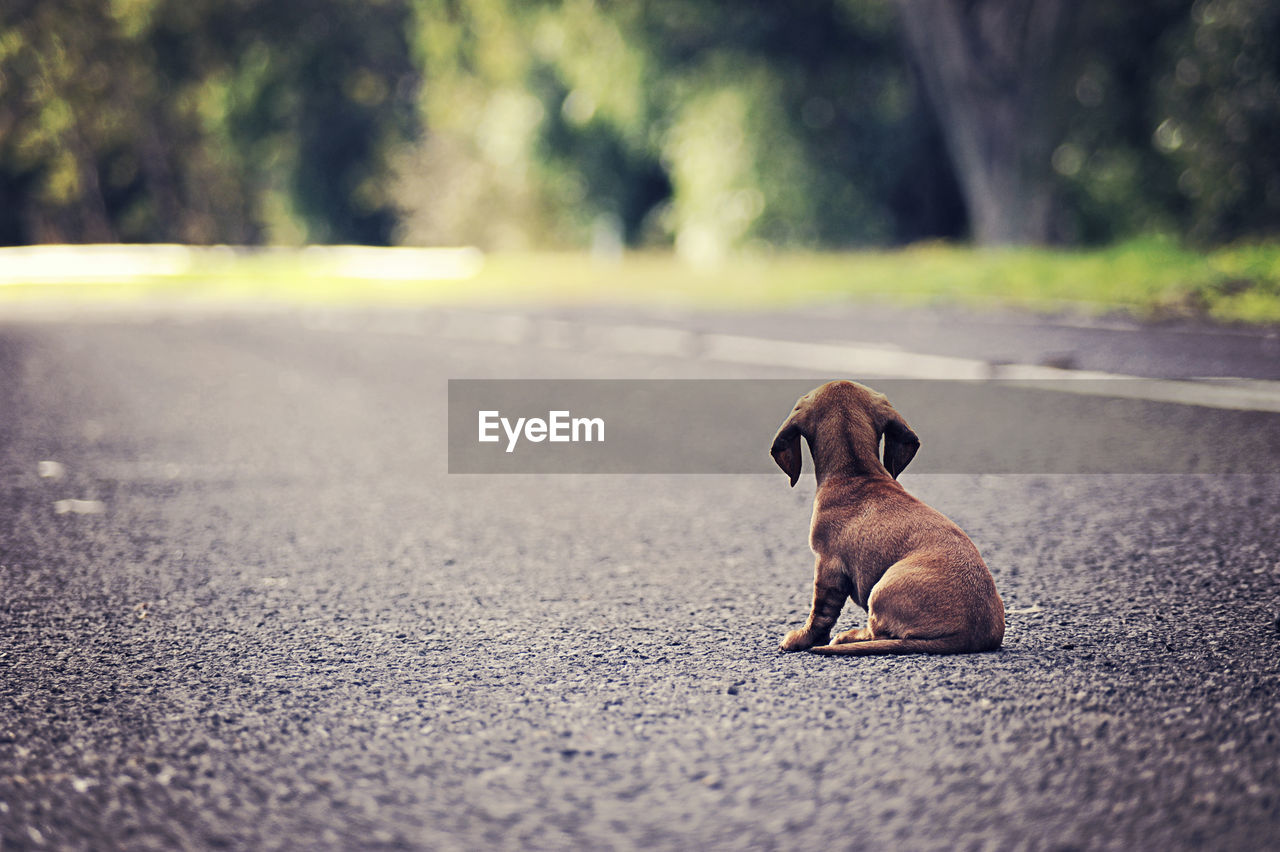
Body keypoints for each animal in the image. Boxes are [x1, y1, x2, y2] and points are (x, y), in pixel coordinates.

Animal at [773, 381, 1003, 652]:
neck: (856, 473)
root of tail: (972, 635)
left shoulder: (827, 564)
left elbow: (821, 613)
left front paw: (802, 638)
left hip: (881, 590)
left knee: (878, 632)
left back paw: (850, 636)